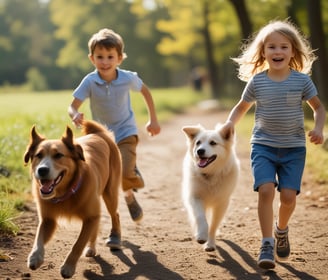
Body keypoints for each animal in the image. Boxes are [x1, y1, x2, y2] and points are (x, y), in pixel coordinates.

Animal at [24, 120, 121, 278]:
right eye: (38, 155)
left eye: (58, 155)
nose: (42, 170)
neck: (65, 193)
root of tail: (98, 134)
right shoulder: (48, 220)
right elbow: (38, 238)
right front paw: (35, 257)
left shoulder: (90, 217)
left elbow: (78, 244)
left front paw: (68, 267)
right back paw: (92, 247)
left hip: (110, 193)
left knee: (115, 215)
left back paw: (115, 238)